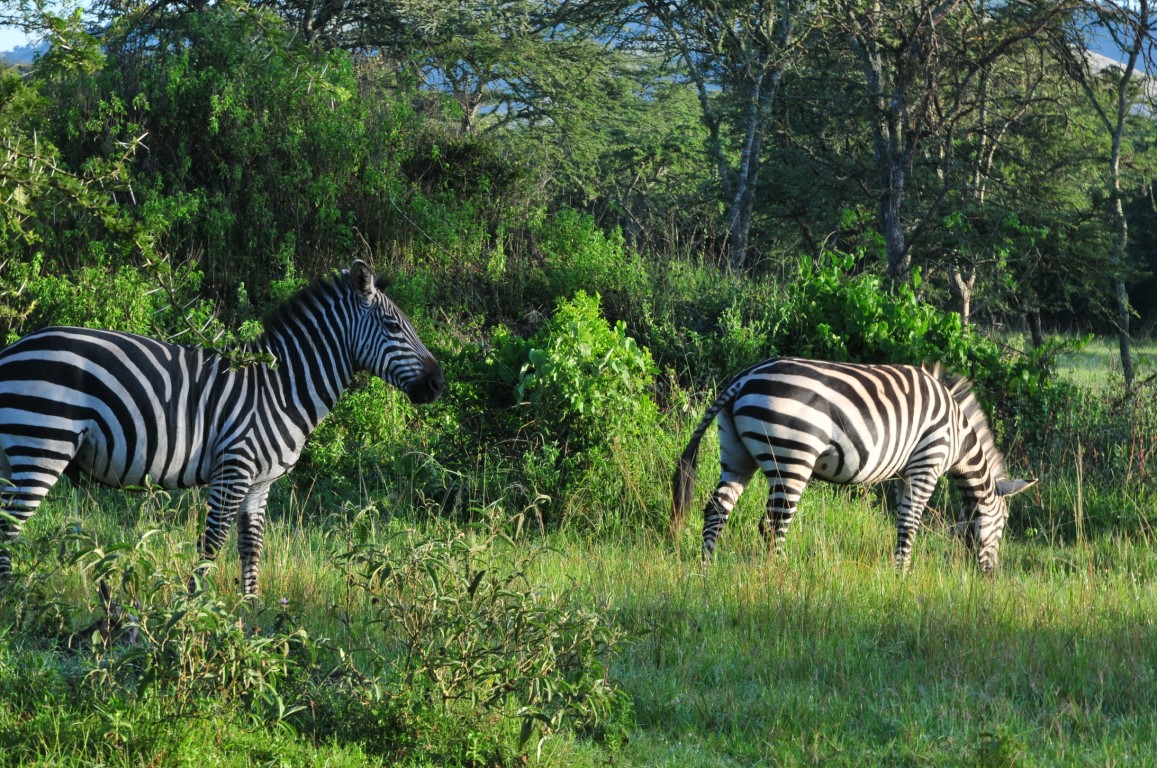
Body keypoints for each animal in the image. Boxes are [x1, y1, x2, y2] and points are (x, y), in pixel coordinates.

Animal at [0, 261, 441, 596]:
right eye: (393, 327)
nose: (438, 383)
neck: (280, 390)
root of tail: (15, 348)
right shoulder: (234, 468)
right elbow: (212, 545)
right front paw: (192, 612)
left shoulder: (260, 483)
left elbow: (251, 547)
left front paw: (250, 615)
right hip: (43, 445)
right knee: (9, 527)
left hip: (14, 454)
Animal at [675, 358, 1036, 569]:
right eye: (1003, 523)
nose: (990, 575)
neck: (959, 438)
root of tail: (744, 377)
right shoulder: (927, 463)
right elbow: (910, 523)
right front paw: (904, 577)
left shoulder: (904, 474)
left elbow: (901, 521)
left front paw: (897, 572)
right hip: (792, 459)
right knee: (773, 524)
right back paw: (780, 576)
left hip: (738, 455)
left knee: (717, 508)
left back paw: (706, 569)